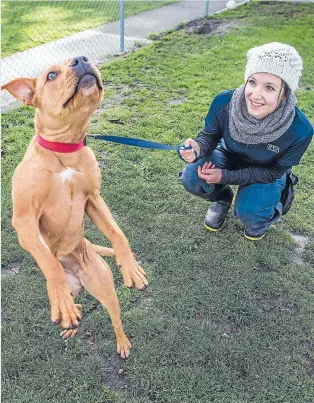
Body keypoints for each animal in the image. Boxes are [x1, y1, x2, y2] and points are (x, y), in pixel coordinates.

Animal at [2, 56, 148, 360]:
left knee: (115, 317)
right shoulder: (24, 220)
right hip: (67, 291)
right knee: (73, 306)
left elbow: (117, 234)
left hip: (104, 288)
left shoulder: (94, 199)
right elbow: (49, 262)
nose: (81, 59)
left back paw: (121, 342)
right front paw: (61, 298)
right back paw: (68, 315)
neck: (65, 149)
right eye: (51, 75)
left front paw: (129, 266)